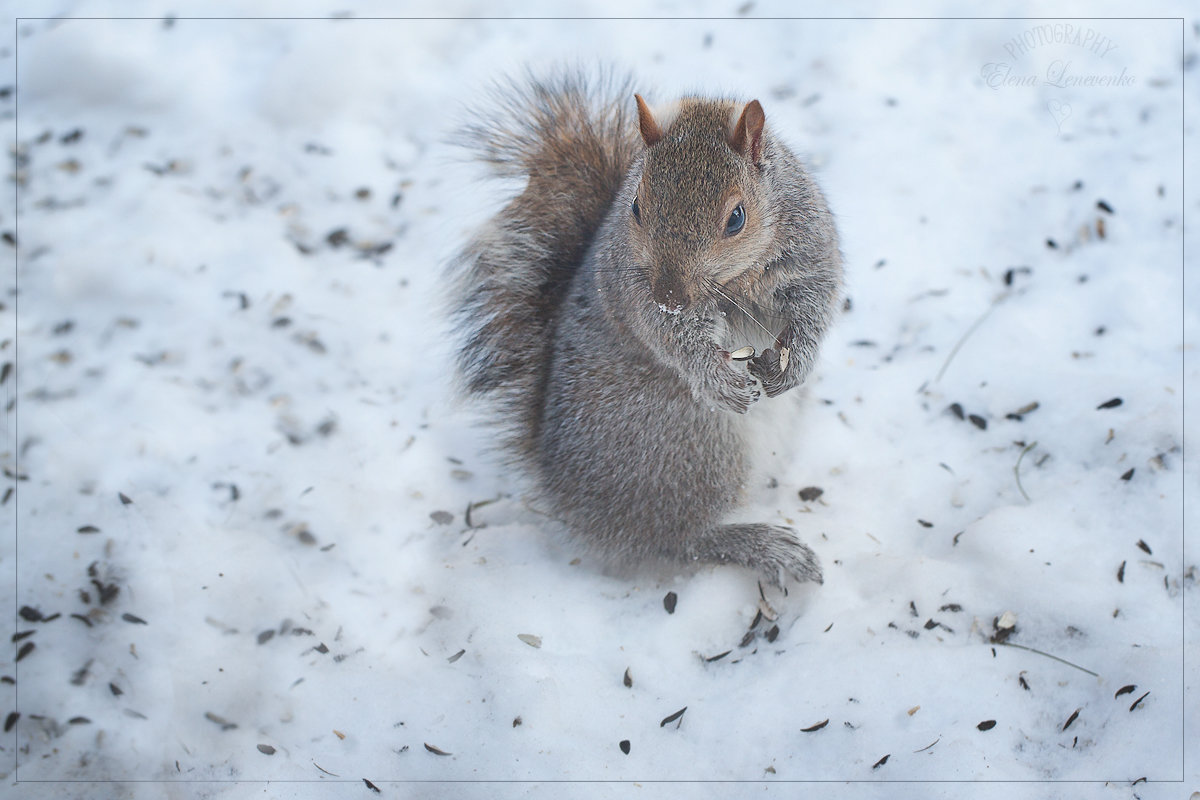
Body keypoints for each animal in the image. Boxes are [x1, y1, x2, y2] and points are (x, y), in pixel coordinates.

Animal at [451, 70, 844, 587]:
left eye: (736, 218)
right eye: (635, 206)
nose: (670, 298)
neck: (735, 282)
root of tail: (566, 495)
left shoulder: (812, 252)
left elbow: (816, 305)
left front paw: (794, 361)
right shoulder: (634, 291)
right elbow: (668, 336)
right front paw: (714, 377)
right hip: (688, 448)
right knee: (678, 540)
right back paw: (761, 545)